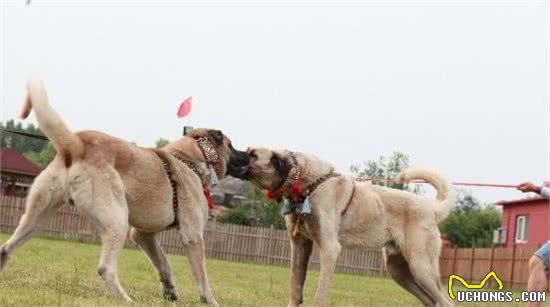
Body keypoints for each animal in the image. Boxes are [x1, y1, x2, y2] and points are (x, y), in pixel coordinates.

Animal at [0, 80, 250, 306]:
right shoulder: (193, 236)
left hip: (36, 217)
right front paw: (209, 300)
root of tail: (78, 144)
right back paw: (125, 299)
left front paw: (170, 290)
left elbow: (164, 263)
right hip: (116, 220)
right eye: (232, 146)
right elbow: (202, 276)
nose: (249, 155)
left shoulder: (142, 235)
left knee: (6, 247)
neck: (187, 158)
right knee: (106, 268)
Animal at [236, 148, 458, 306]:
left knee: (446, 302)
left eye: (252, 155)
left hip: (421, 267)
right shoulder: (300, 246)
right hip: (399, 271)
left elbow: (320, 295)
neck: (306, 183)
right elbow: (295, 289)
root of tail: (431, 208)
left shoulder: (329, 250)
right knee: (431, 301)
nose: (232, 151)